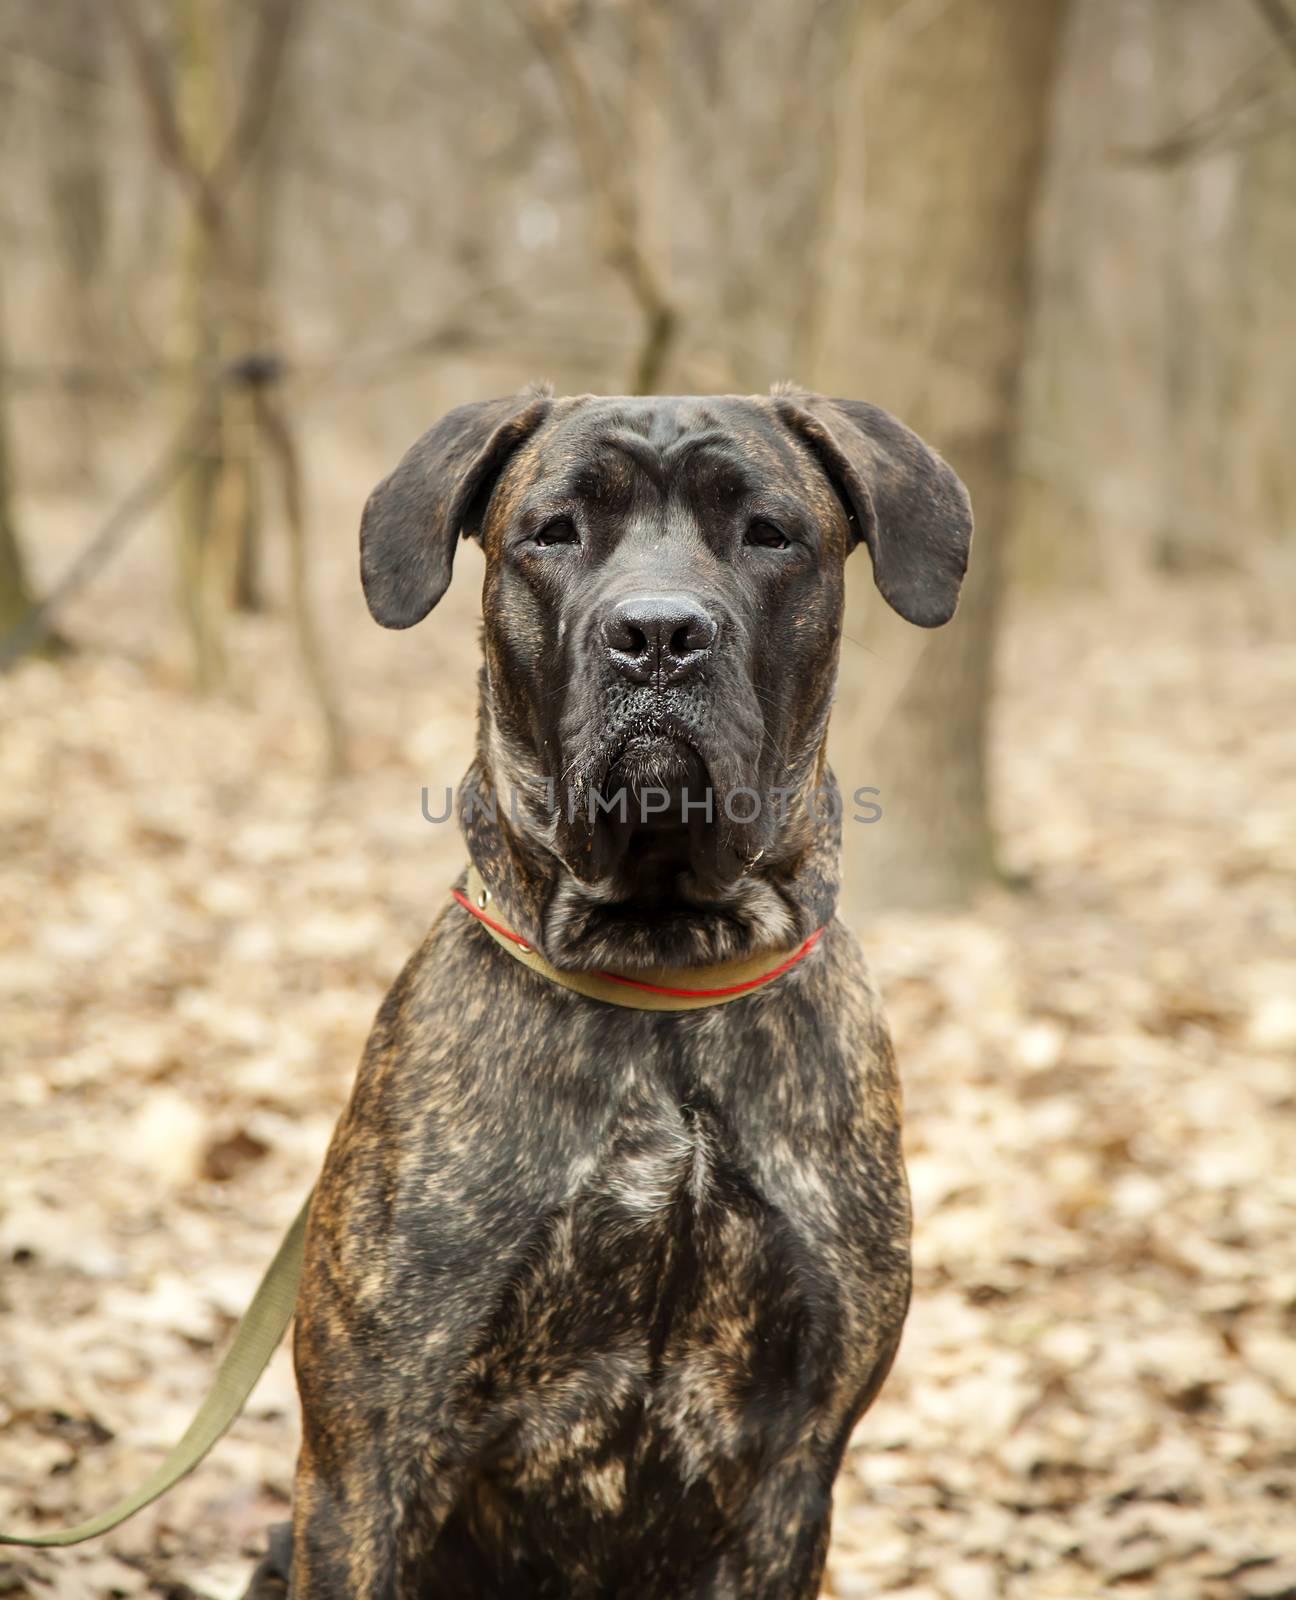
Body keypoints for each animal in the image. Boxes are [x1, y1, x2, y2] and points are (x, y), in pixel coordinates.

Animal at [244, 387, 972, 1600]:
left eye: (768, 533)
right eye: (553, 532)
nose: (660, 633)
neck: (660, 963)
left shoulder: (791, 1468)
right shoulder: (367, 1455)